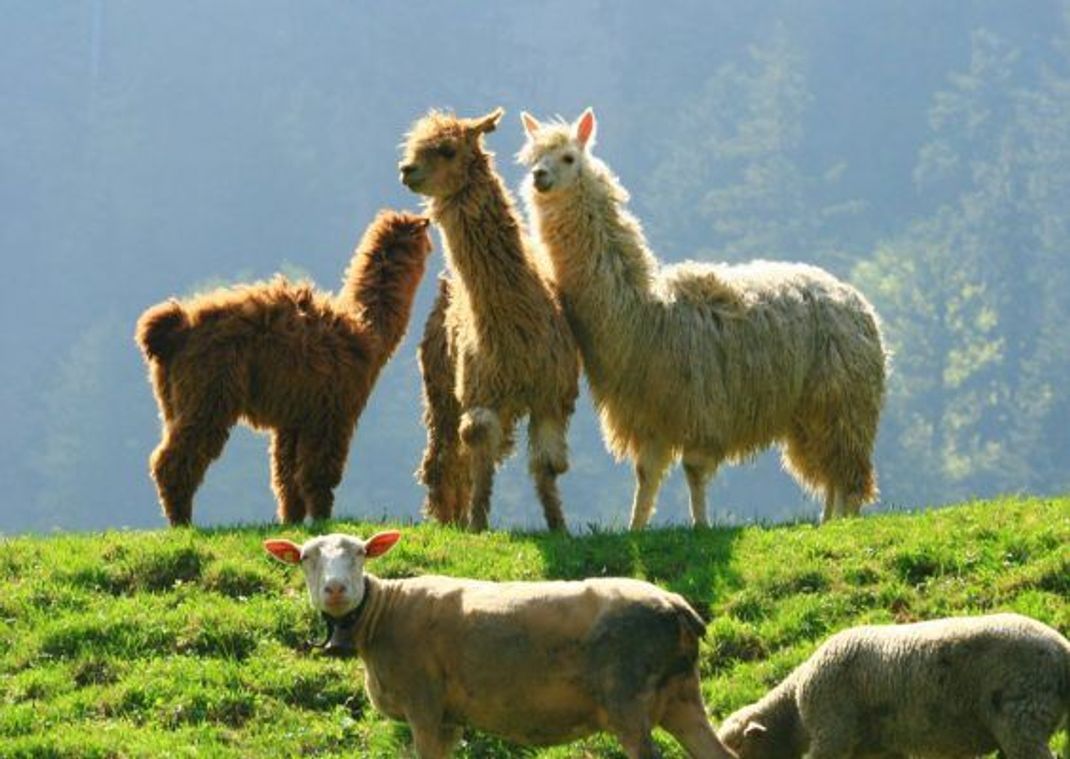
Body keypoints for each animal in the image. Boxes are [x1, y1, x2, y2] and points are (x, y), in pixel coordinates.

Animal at [135, 209, 432, 524]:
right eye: (428, 238)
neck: (366, 331)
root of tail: (175, 331)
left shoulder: (294, 416)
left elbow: (287, 478)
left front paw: (292, 521)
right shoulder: (332, 410)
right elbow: (318, 473)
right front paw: (322, 519)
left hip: (173, 400)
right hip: (208, 390)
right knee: (174, 460)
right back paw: (182, 522)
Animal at [263, 526, 740, 757]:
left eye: (361, 553)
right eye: (306, 558)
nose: (336, 590)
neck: (382, 614)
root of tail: (678, 607)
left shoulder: (424, 705)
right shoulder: (449, 718)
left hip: (628, 700)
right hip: (680, 696)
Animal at [398, 108, 577, 533]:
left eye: (446, 149)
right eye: (412, 146)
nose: (406, 170)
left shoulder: (552, 392)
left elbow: (547, 464)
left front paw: (559, 526)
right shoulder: (480, 392)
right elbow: (477, 448)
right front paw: (477, 524)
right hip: (440, 384)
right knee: (443, 457)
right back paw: (448, 518)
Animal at [517, 108, 885, 526]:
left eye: (568, 158)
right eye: (533, 158)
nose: (539, 177)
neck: (648, 315)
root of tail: (860, 304)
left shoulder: (700, 405)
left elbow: (693, 471)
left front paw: (701, 525)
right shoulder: (650, 415)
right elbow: (646, 476)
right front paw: (635, 527)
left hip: (844, 400)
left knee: (847, 473)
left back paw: (844, 521)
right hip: (810, 411)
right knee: (829, 472)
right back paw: (827, 522)